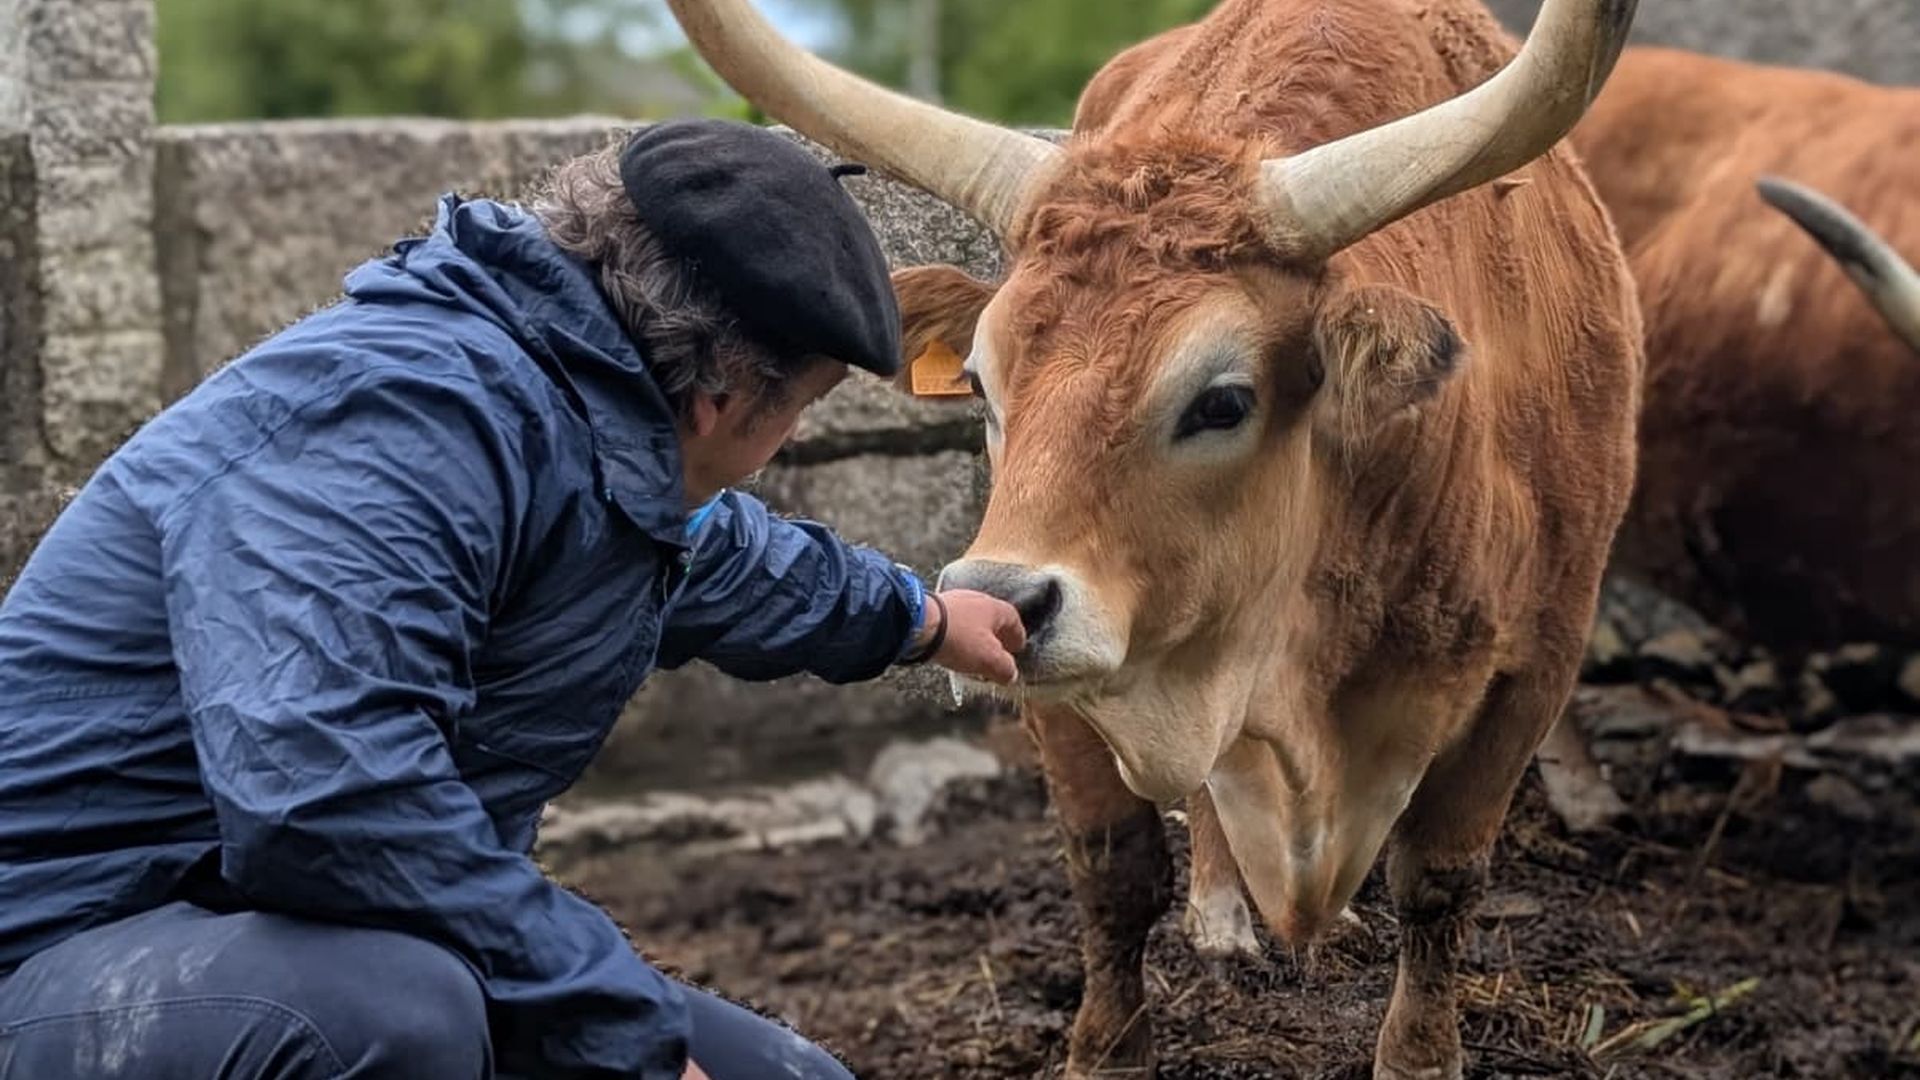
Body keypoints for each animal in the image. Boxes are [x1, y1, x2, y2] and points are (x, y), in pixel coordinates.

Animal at [662, 0, 1644, 1076]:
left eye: (1221, 402)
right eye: (981, 384)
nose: (998, 602)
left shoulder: (1534, 670)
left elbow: (1441, 881)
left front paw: (1419, 1053)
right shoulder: (1069, 686)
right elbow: (1114, 870)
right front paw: (1106, 1046)